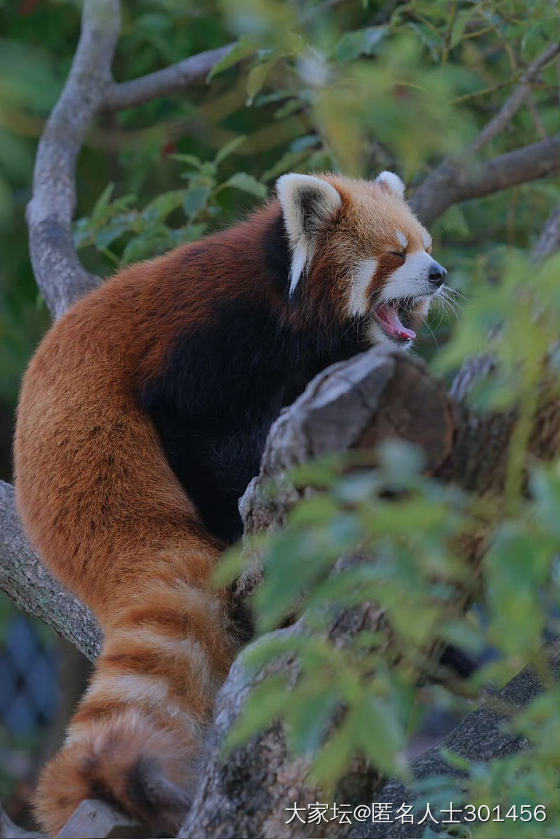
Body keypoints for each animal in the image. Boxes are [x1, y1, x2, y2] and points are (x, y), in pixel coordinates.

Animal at [13, 171, 446, 832]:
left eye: (424, 245)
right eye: (396, 254)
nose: (439, 274)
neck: (287, 305)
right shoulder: (213, 333)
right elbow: (191, 422)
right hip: (99, 459)